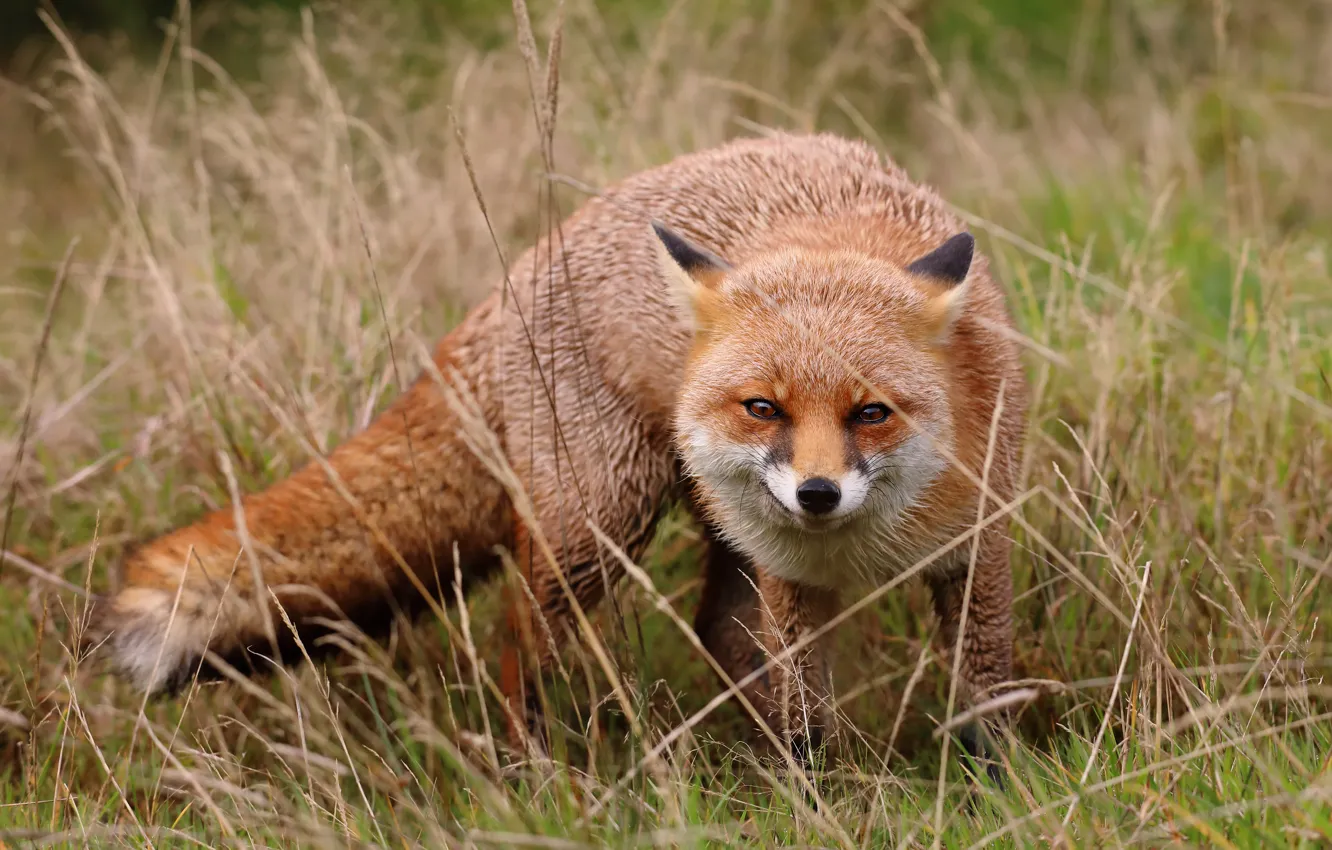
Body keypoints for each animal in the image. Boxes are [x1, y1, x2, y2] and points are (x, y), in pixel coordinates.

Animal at [85, 131, 1028, 772]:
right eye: (764, 408)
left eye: (872, 413)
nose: (818, 495)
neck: (864, 547)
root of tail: (518, 274)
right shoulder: (790, 582)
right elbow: (807, 717)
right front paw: (815, 795)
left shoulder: (979, 547)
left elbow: (989, 691)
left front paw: (994, 782)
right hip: (595, 529)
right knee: (517, 644)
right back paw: (530, 777)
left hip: (701, 532)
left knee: (717, 632)